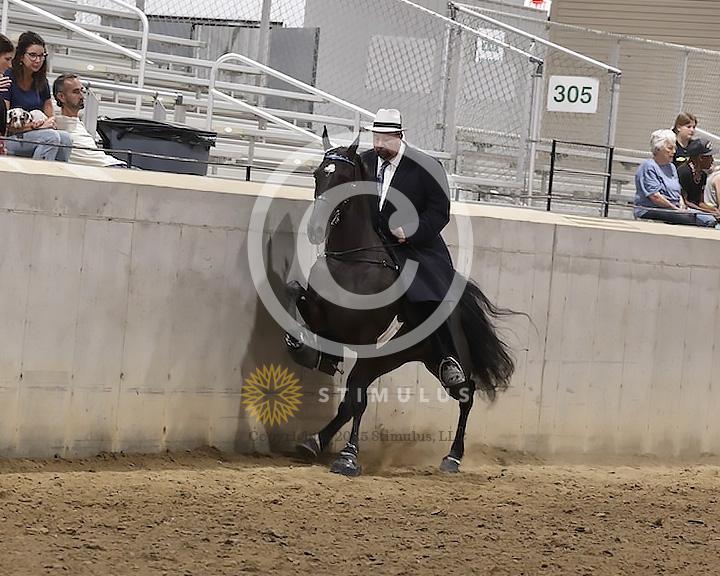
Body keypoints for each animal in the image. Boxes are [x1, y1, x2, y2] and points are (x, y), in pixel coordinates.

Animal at [286, 130, 515, 476]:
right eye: (317, 175)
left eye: (345, 180)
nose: (314, 229)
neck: (354, 262)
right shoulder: (324, 317)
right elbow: (293, 291)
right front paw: (300, 345)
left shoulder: (366, 340)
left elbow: (357, 399)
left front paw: (349, 457)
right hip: (397, 356)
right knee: (353, 398)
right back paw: (313, 441)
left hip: (441, 356)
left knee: (466, 393)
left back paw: (453, 457)